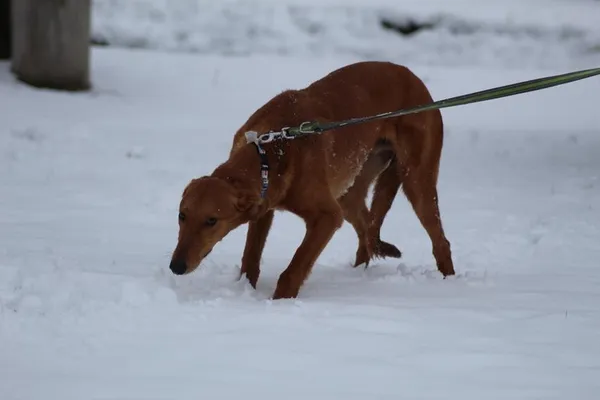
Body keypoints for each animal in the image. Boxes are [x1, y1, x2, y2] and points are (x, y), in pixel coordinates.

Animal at [169, 59, 454, 296]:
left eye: (212, 220)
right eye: (182, 215)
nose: (176, 266)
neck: (272, 151)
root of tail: (414, 78)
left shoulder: (327, 216)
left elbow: (295, 266)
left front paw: (279, 302)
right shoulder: (264, 207)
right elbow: (250, 258)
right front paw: (245, 292)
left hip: (416, 181)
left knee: (440, 241)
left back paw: (449, 284)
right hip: (350, 191)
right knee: (367, 231)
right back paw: (357, 277)